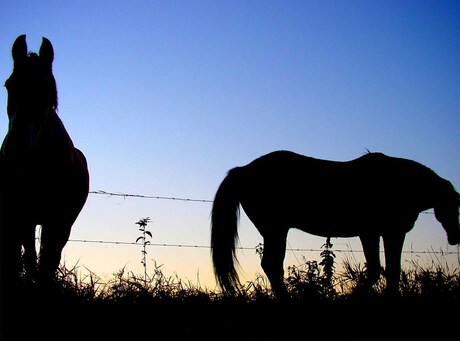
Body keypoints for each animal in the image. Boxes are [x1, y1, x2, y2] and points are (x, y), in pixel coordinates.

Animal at [0, 34, 89, 286]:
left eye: (46, 88)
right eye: (9, 84)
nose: (17, 147)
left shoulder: (57, 220)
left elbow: (47, 262)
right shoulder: (22, 216)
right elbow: (30, 259)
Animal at [210, 149, 458, 294]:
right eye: (452, 207)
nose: (455, 237)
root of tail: (242, 171)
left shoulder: (382, 233)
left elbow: (384, 270)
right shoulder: (381, 232)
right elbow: (382, 270)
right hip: (275, 229)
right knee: (272, 265)